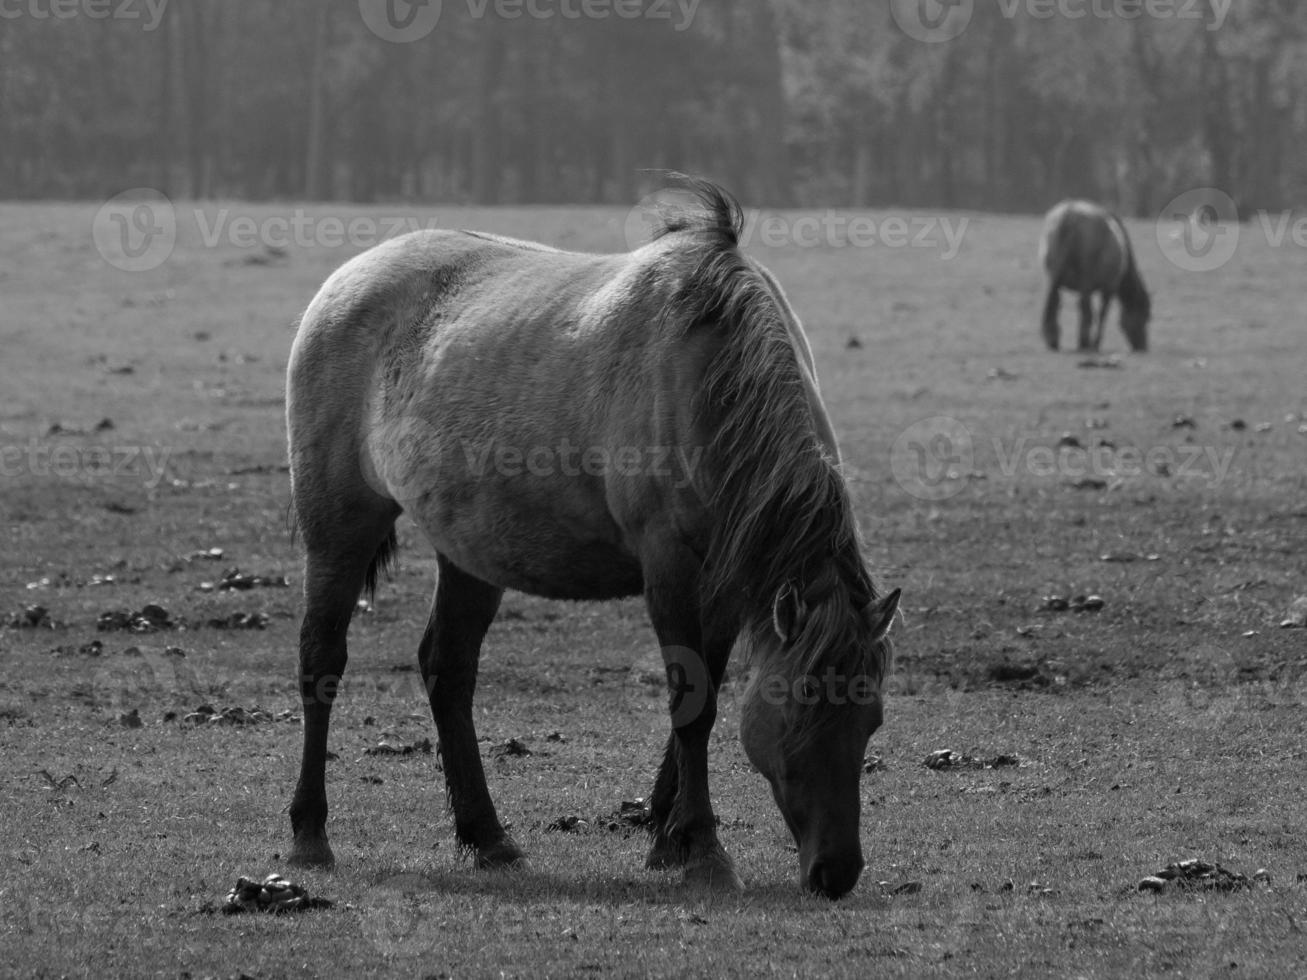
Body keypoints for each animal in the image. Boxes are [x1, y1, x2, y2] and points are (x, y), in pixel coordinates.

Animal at [284, 180, 899, 904]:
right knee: (321, 660)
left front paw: (666, 837)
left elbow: (706, 690)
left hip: (468, 551)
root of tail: (346, 280)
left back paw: (487, 839)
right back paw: (310, 835)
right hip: (339, 526)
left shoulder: (724, 582)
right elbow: (691, 704)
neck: (710, 379)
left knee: (448, 670)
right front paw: (702, 852)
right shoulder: (670, 568)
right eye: (798, 710)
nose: (836, 872)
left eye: (871, 720)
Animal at [1035, 199, 1150, 352]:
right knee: (1084, 307)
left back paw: (1054, 338)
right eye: (1145, 316)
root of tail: (1069, 215)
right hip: (1086, 279)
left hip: (1054, 275)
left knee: (1054, 301)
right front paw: (1096, 343)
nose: (1143, 347)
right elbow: (1102, 314)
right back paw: (1084, 342)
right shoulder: (1109, 287)